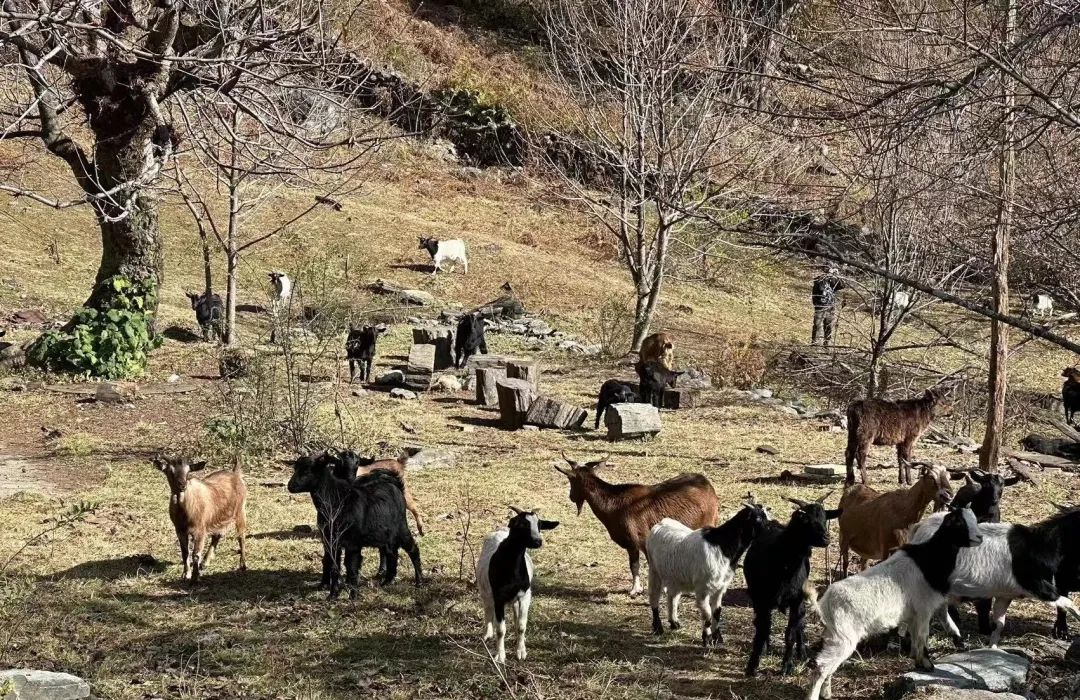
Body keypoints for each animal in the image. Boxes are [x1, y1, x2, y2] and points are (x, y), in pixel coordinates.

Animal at [479, 507, 561, 661]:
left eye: (539, 525)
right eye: (522, 524)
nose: (538, 541)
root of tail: (500, 530)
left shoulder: (525, 596)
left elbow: (521, 626)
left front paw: (521, 651)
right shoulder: (499, 598)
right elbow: (500, 629)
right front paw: (500, 655)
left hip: (516, 600)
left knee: (516, 617)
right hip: (485, 591)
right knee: (488, 608)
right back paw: (487, 634)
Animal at [557, 453, 717, 596]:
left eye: (570, 479)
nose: (571, 497)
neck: (614, 504)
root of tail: (708, 485)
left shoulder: (637, 540)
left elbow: (637, 565)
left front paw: (638, 590)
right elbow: (636, 565)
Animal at [747, 492, 838, 678]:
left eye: (825, 518)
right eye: (806, 520)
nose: (826, 538)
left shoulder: (796, 599)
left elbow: (790, 633)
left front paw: (787, 666)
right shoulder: (760, 600)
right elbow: (761, 630)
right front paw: (752, 665)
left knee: (800, 623)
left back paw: (801, 652)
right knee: (763, 625)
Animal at [807, 505, 984, 700]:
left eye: (974, 518)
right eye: (958, 521)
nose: (979, 537)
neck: (928, 559)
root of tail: (824, 604)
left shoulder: (914, 614)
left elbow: (915, 637)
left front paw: (917, 661)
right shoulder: (924, 609)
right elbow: (923, 636)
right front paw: (927, 665)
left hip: (833, 636)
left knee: (828, 666)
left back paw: (827, 693)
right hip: (844, 637)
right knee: (822, 666)